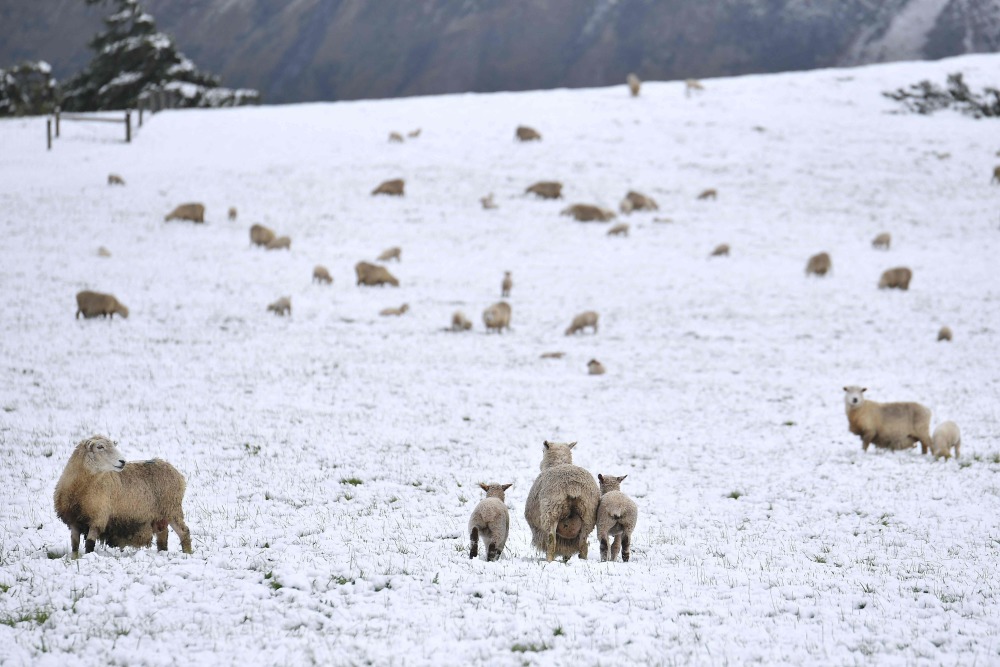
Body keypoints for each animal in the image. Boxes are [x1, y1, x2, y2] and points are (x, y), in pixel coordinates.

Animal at [54, 434, 193, 560]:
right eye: (100, 447)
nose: (122, 462)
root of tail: (176, 472)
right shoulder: (73, 521)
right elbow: (74, 544)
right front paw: (74, 559)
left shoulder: (98, 518)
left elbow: (89, 544)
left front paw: (89, 558)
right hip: (160, 516)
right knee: (163, 537)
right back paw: (162, 552)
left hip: (172, 509)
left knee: (184, 532)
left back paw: (188, 553)